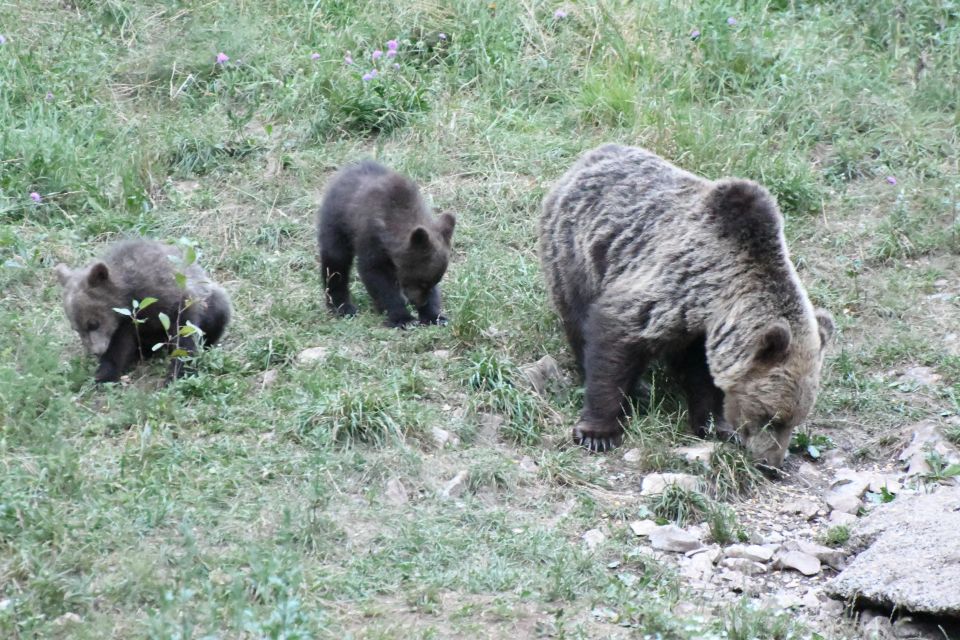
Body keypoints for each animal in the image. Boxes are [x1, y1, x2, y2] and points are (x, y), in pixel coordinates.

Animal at [540, 144, 832, 464]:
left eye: (795, 421)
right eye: (770, 417)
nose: (772, 464)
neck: (716, 300)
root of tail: (591, 155)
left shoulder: (703, 331)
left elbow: (704, 376)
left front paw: (716, 425)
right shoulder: (670, 289)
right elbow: (614, 340)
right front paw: (598, 433)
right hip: (577, 254)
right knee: (577, 317)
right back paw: (636, 388)